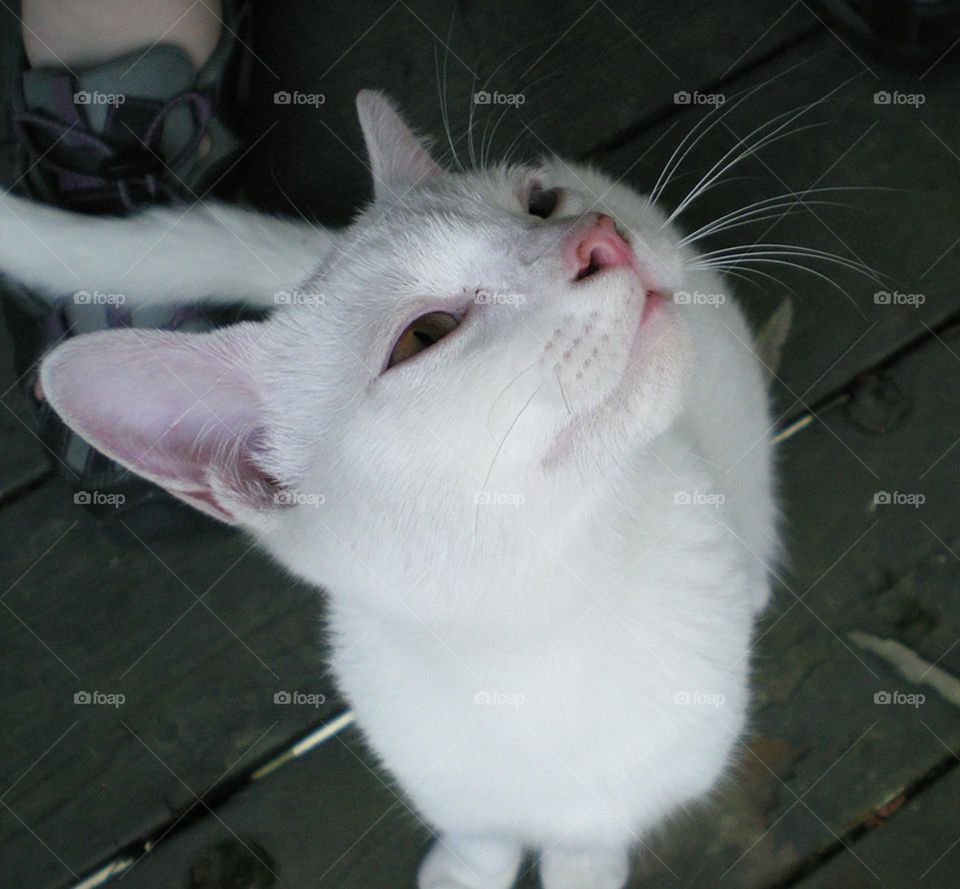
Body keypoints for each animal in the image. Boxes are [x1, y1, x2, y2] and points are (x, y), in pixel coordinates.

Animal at [0, 93, 780, 884]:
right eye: (423, 334)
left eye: (539, 201)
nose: (598, 236)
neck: (541, 637)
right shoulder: (452, 790)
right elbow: (481, 836)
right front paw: (463, 872)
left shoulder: (624, 801)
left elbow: (584, 850)